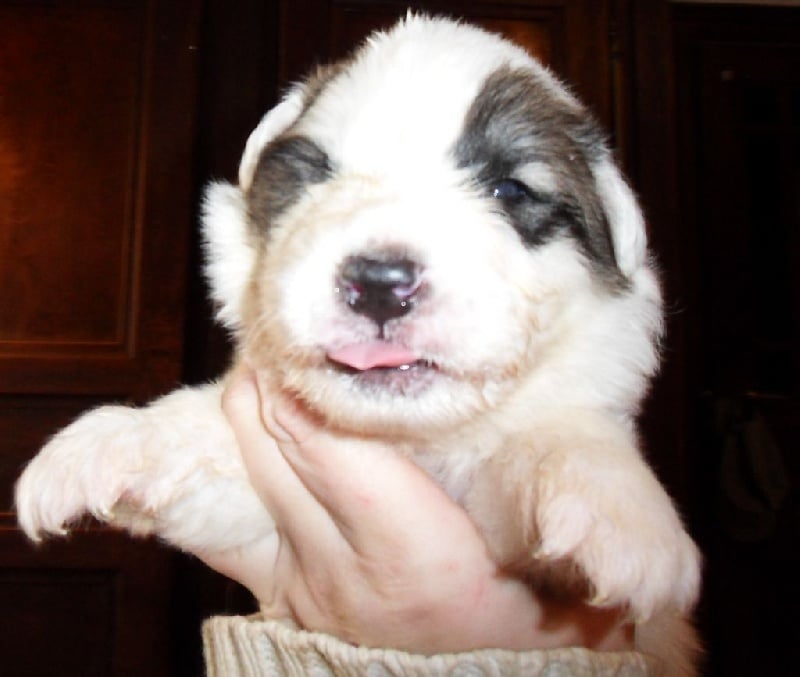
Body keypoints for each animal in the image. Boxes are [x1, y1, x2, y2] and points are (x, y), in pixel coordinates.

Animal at [15, 15, 701, 673]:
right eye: (318, 174)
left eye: (509, 190)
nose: (377, 283)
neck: (408, 442)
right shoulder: (266, 516)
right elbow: (207, 436)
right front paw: (114, 442)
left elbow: (554, 437)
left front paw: (616, 508)